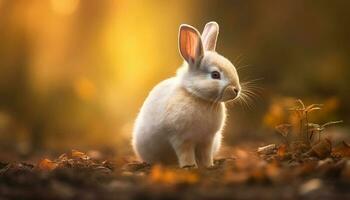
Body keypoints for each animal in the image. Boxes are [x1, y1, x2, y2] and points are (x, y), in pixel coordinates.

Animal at [131, 21, 241, 168]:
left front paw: (208, 166)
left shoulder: (207, 139)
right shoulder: (181, 139)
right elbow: (186, 154)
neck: (198, 96)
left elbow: (206, 154)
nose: (236, 90)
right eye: (215, 75)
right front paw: (189, 166)